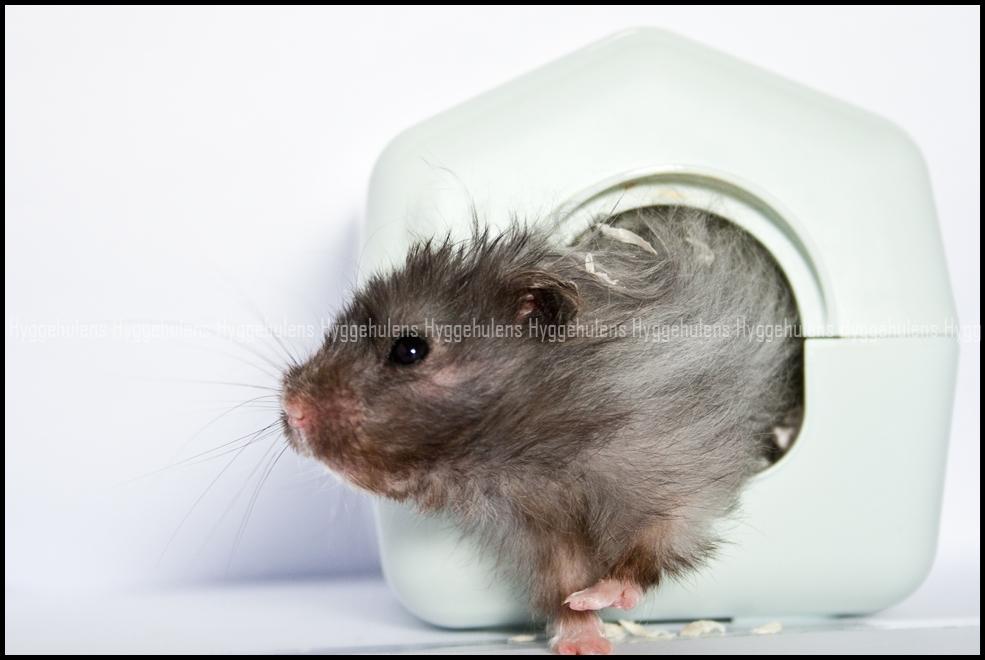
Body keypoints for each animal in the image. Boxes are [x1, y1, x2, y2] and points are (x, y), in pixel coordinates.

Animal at [280, 205, 803, 655]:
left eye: (409, 350)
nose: (290, 410)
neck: (536, 456)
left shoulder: (679, 477)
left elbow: (647, 552)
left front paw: (598, 597)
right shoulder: (542, 533)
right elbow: (560, 584)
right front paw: (582, 639)